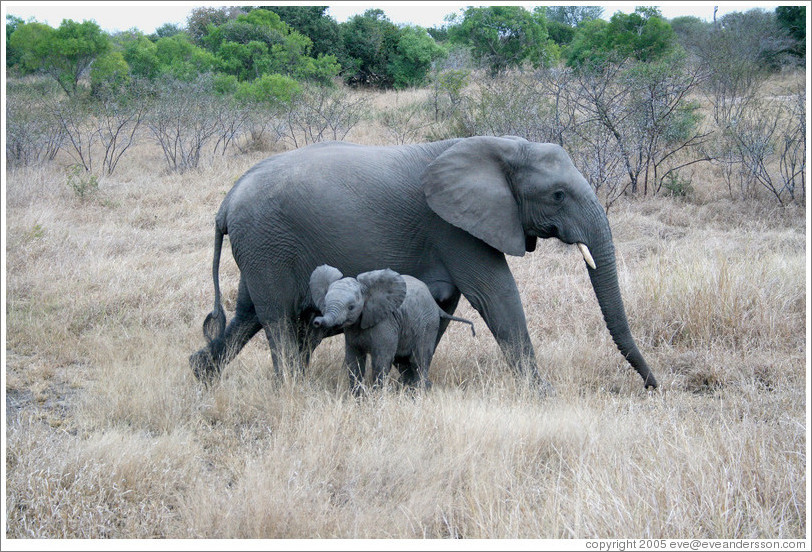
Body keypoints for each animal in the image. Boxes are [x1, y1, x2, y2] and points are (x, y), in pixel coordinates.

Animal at [310, 266, 476, 394]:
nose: (317, 321)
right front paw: (356, 398)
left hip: (428, 325)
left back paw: (420, 393)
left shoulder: (385, 323)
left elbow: (381, 360)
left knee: (419, 360)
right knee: (404, 364)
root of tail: (436, 306)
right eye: (325, 303)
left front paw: (376, 399)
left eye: (351, 307)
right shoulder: (352, 330)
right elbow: (354, 361)